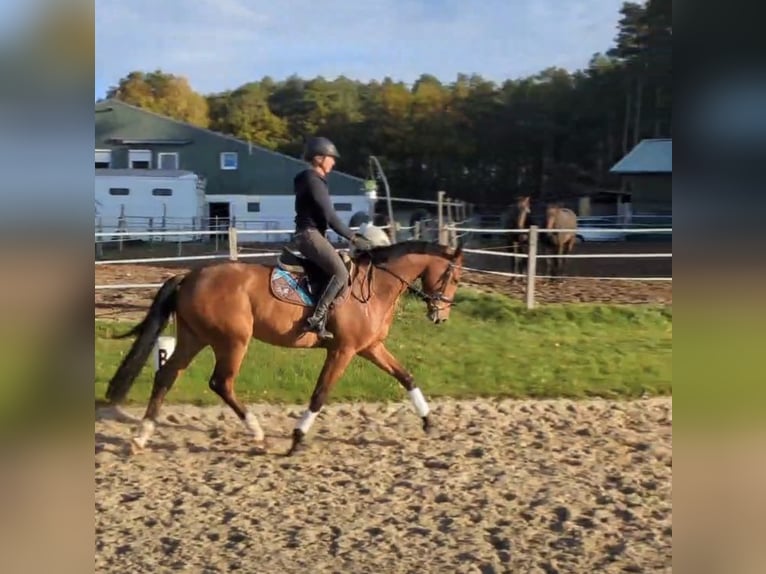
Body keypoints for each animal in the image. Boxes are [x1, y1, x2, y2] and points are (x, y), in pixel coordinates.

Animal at [101, 241, 462, 456]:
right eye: (455, 278)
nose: (441, 316)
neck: (373, 288)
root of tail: (190, 276)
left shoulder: (370, 347)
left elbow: (407, 377)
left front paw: (429, 422)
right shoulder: (343, 351)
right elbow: (319, 394)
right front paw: (297, 438)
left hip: (194, 337)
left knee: (167, 376)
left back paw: (141, 436)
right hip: (232, 340)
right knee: (221, 382)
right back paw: (257, 433)